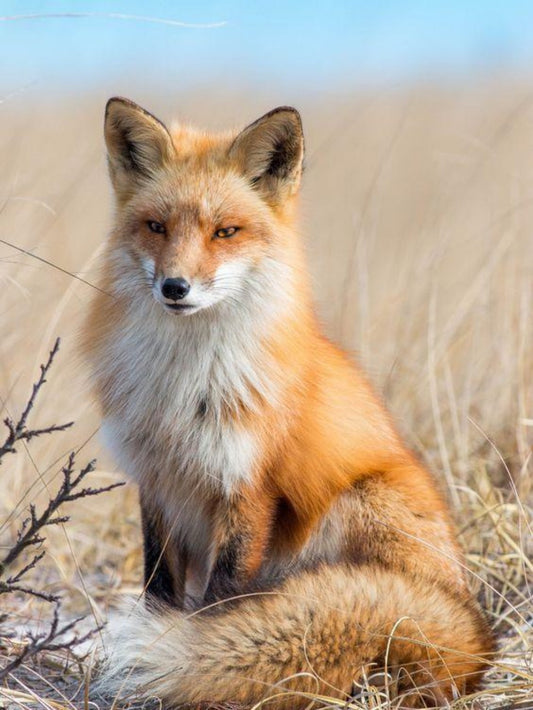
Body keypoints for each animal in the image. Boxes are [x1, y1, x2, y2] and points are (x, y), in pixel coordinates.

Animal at [83, 97, 495, 708]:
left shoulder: (248, 485)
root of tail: (476, 639)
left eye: (225, 231)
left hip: (356, 502)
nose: (175, 288)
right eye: (156, 227)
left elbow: (222, 599)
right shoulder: (157, 481)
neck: (185, 389)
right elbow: (158, 585)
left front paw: (198, 655)